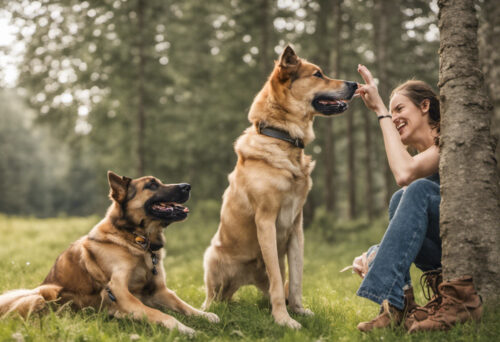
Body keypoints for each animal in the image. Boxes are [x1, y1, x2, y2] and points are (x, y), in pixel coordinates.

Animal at [0, 171, 219, 334]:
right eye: (151, 185)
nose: (187, 186)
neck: (136, 240)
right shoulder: (118, 289)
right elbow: (159, 314)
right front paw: (184, 328)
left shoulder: (159, 290)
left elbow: (183, 305)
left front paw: (206, 315)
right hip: (43, 293)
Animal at [201, 45, 358, 328]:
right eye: (318, 74)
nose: (354, 83)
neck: (283, 138)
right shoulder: (266, 221)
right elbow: (277, 277)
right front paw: (284, 319)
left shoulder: (296, 227)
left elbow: (294, 279)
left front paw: (297, 310)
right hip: (212, 257)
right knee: (212, 296)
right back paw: (211, 310)